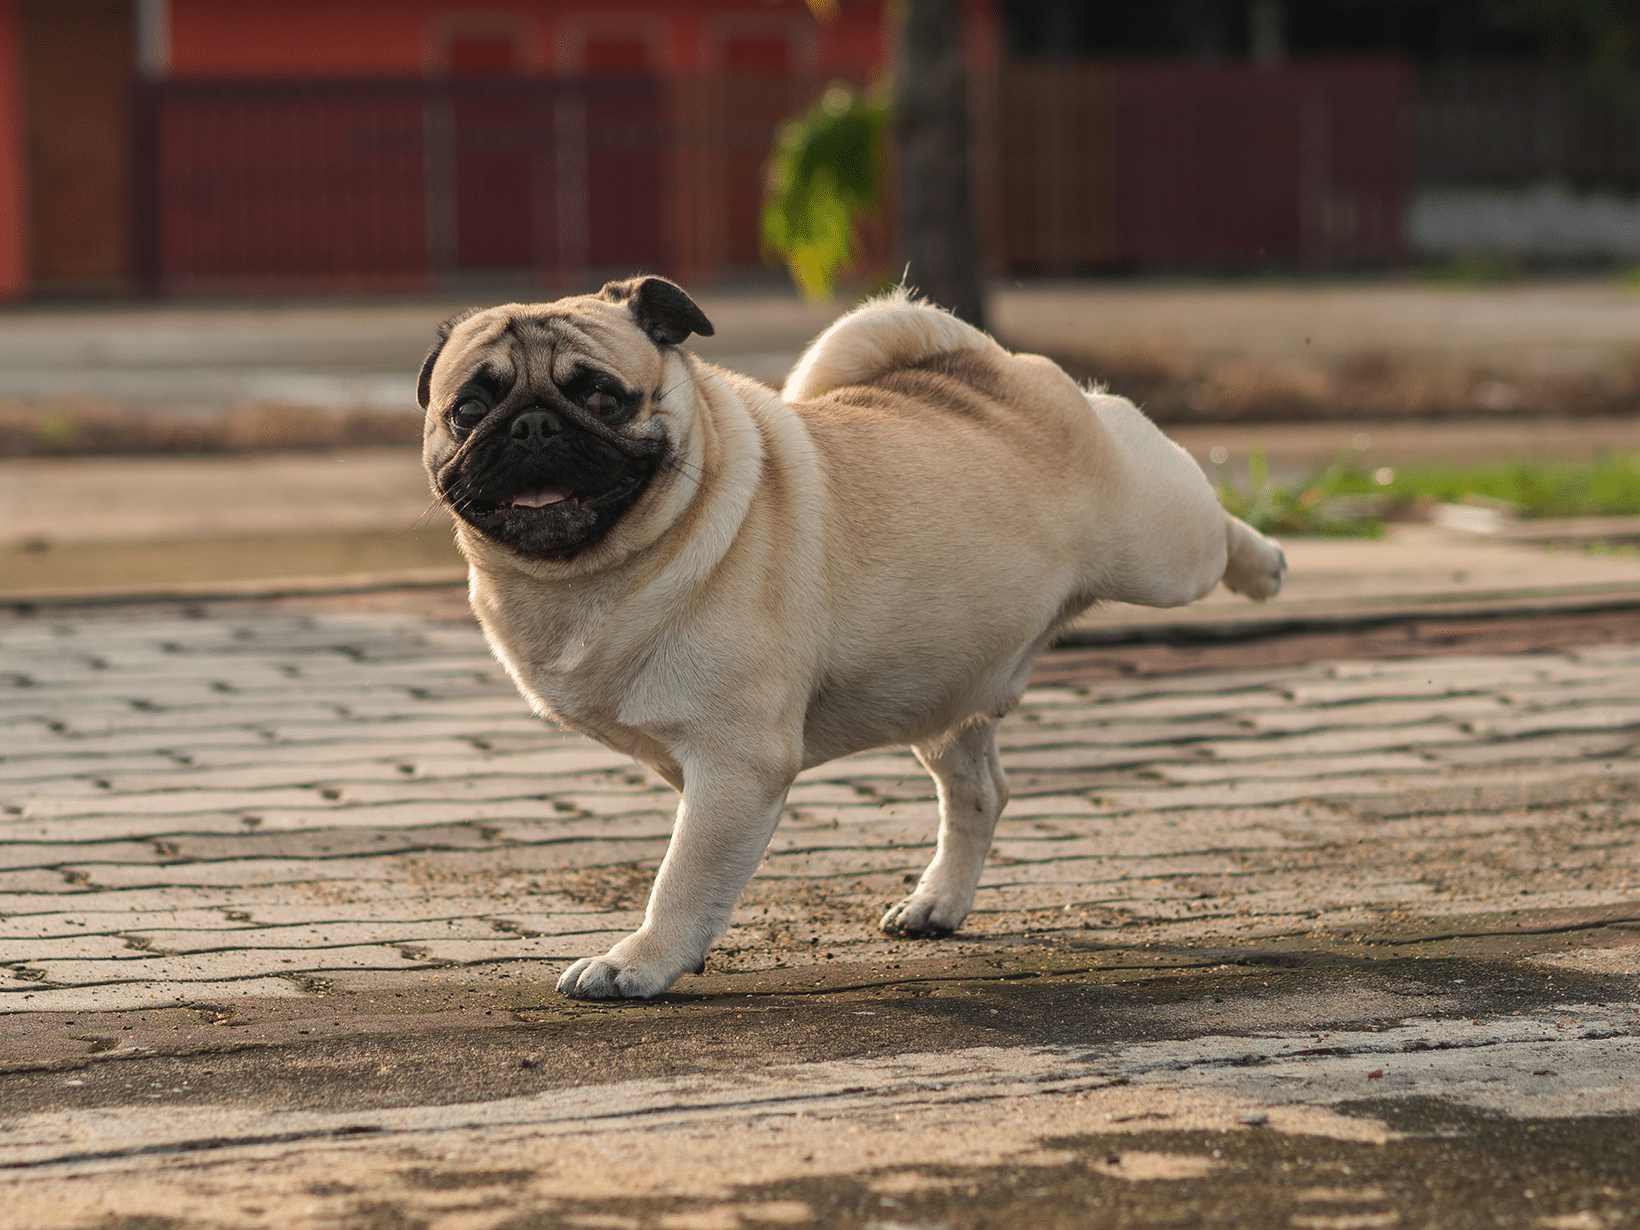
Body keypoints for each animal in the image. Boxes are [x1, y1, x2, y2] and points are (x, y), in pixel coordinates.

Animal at [416, 277, 1285, 1003]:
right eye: (468, 410)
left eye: (601, 396)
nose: (530, 425)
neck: (583, 579)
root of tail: (983, 365)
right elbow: (695, 868)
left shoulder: (736, 763)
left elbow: (683, 876)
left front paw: (640, 963)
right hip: (939, 687)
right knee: (979, 793)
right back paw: (938, 903)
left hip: (1162, 552)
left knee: (1210, 525)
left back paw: (1267, 564)